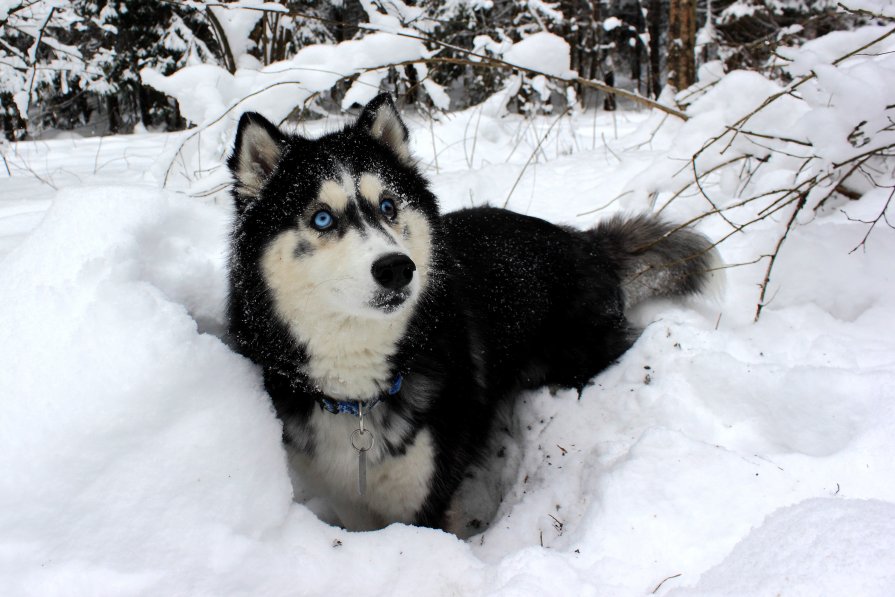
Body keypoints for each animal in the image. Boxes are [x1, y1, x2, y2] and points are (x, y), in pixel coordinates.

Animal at [228, 95, 716, 532]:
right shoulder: (349, 495)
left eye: (388, 206)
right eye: (323, 219)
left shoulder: (426, 494)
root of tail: (583, 242)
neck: (359, 397)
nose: (397, 268)